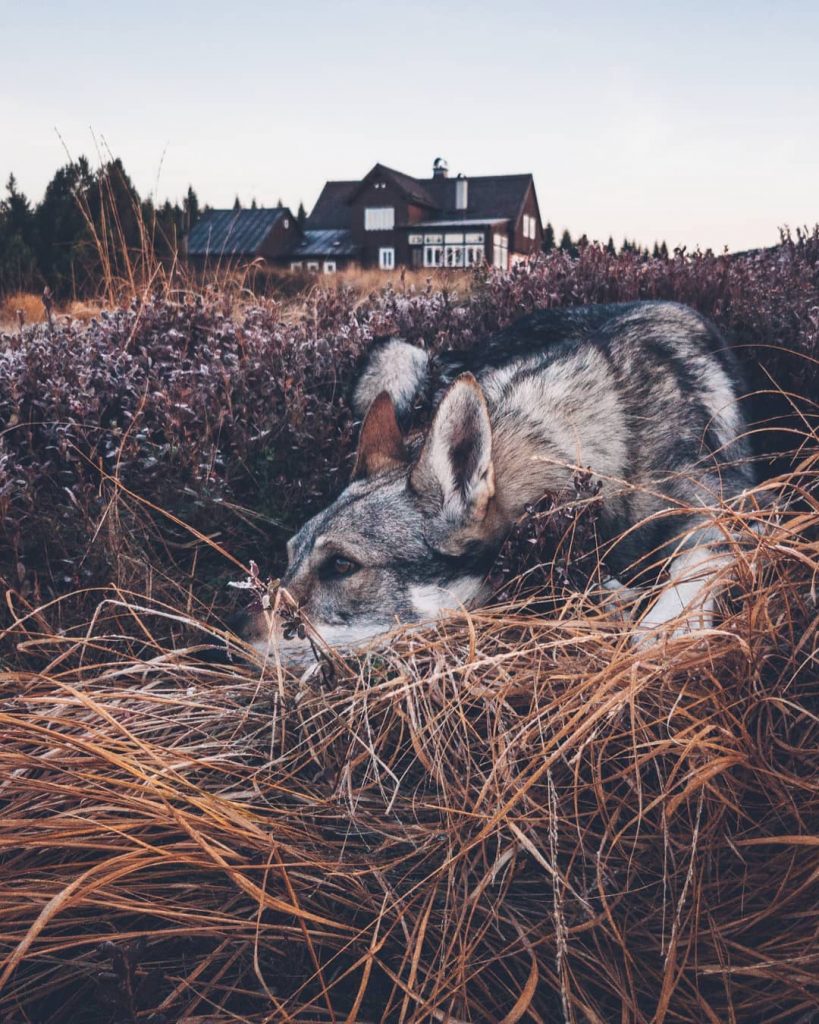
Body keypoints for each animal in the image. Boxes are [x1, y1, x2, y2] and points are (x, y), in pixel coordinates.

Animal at [234, 301, 756, 665]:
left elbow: (694, 567)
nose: (228, 642)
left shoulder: (740, 510)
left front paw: (668, 629)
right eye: (289, 555)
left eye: (341, 566)